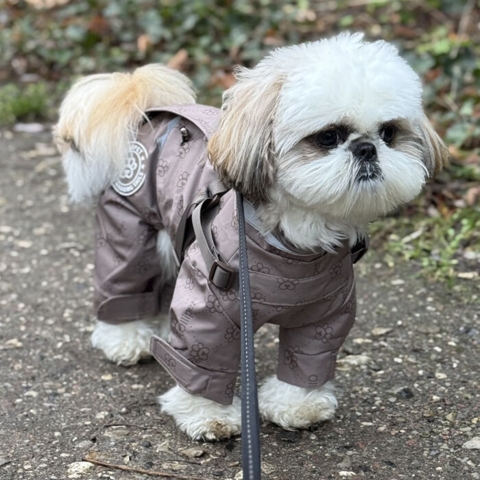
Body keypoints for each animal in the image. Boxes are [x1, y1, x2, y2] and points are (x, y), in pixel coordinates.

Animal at [54, 31, 448, 440]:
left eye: (389, 132)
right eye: (328, 137)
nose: (367, 148)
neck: (294, 251)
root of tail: (148, 112)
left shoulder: (326, 315)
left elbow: (307, 358)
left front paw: (297, 405)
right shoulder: (211, 307)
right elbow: (204, 360)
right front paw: (209, 415)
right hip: (129, 231)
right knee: (124, 280)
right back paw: (126, 338)